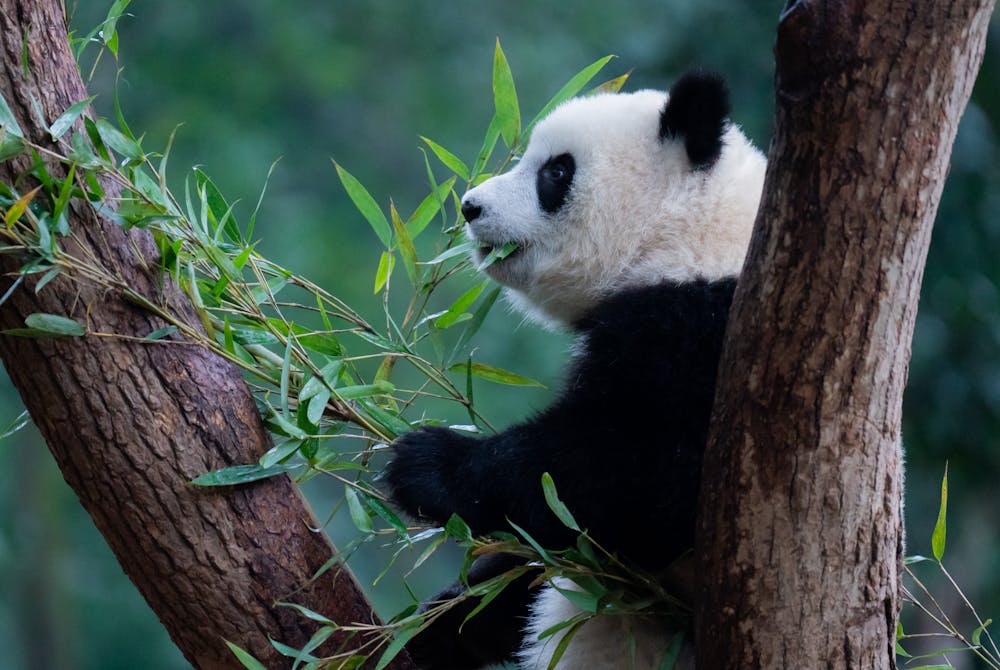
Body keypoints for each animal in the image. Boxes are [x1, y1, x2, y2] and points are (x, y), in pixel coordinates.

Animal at [382, 71, 764, 668]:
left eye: (556, 171)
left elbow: (636, 477)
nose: (469, 207)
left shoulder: (708, 334)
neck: (687, 230)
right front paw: (440, 619)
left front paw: (425, 463)